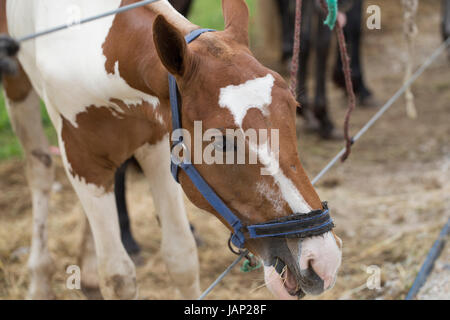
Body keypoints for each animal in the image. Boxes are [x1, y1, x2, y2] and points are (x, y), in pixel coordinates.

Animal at [0, 0, 342, 300]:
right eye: (221, 142)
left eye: (294, 107)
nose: (322, 259)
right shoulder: (83, 163)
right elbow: (119, 277)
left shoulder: (160, 150)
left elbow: (181, 257)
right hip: (17, 86)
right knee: (40, 170)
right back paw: (40, 281)